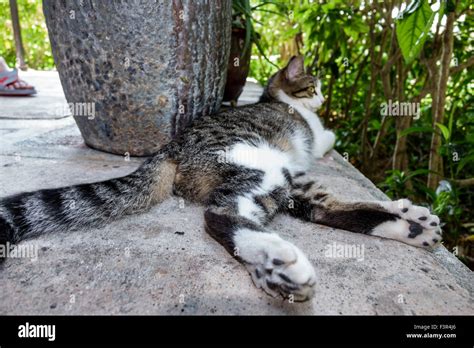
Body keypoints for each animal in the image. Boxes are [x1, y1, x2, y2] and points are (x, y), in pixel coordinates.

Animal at [0, 57, 440, 302]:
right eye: (311, 86)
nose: (321, 99)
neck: (277, 101)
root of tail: (172, 147)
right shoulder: (315, 136)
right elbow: (328, 137)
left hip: (285, 180)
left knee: (323, 209)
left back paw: (410, 226)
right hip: (262, 166)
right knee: (221, 215)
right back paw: (277, 262)